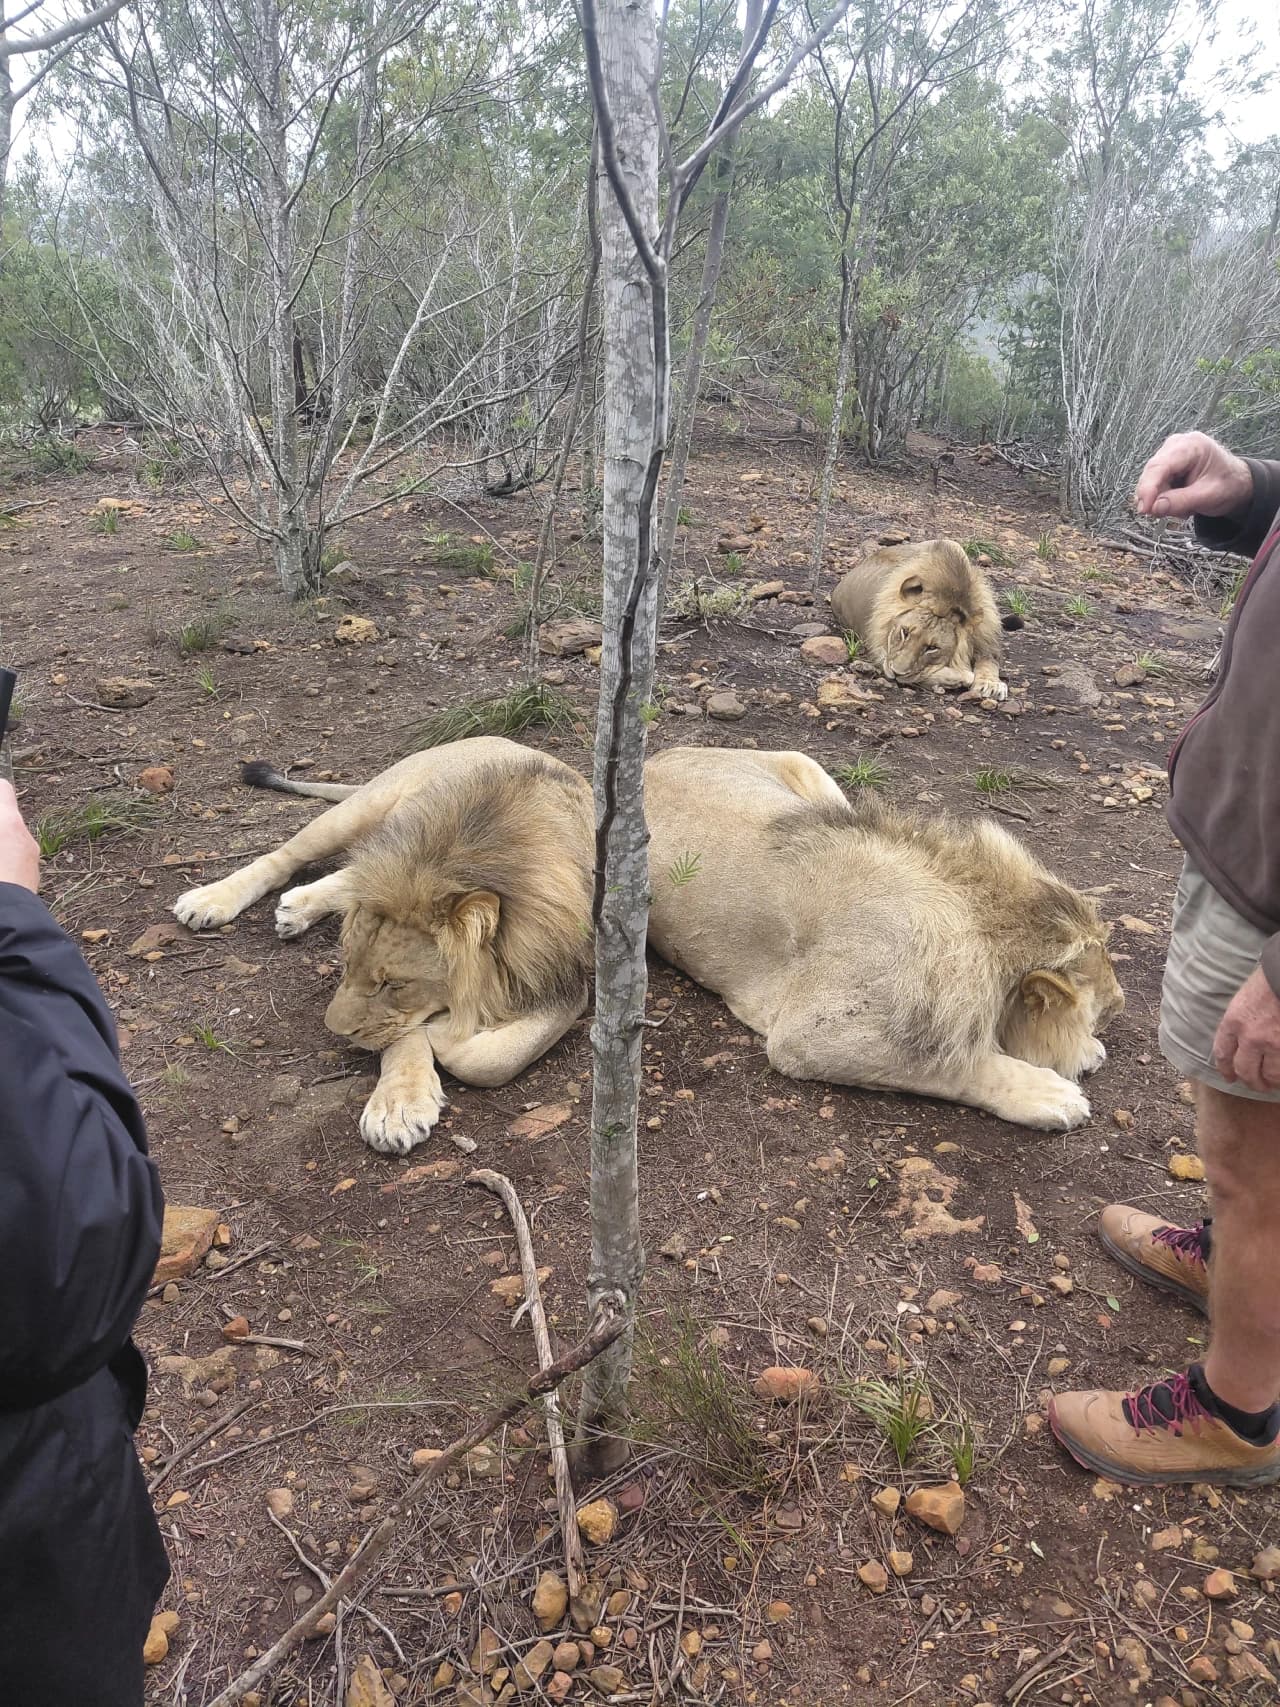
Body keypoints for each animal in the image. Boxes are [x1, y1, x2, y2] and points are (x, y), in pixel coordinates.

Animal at [172, 737, 594, 1155]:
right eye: (345, 966)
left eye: (393, 984)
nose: (336, 1032)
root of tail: (505, 741)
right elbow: (410, 1038)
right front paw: (398, 1106)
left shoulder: (568, 982)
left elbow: (485, 1060)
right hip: (357, 812)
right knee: (283, 856)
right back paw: (209, 900)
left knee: (353, 872)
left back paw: (298, 907)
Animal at [644, 747, 1123, 1131]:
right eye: (1101, 1009)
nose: (1120, 1004)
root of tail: (652, 758)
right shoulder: (808, 1035)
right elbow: (955, 1068)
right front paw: (1054, 1093)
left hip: (812, 777)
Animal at [829, 537, 1021, 701]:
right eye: (904, 632)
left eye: (932, 648)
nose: (896, 672)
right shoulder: (880, 649)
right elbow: (926, 674)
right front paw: (963, 676)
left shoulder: (986, 639)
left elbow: (989, 661)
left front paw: (990, 684)